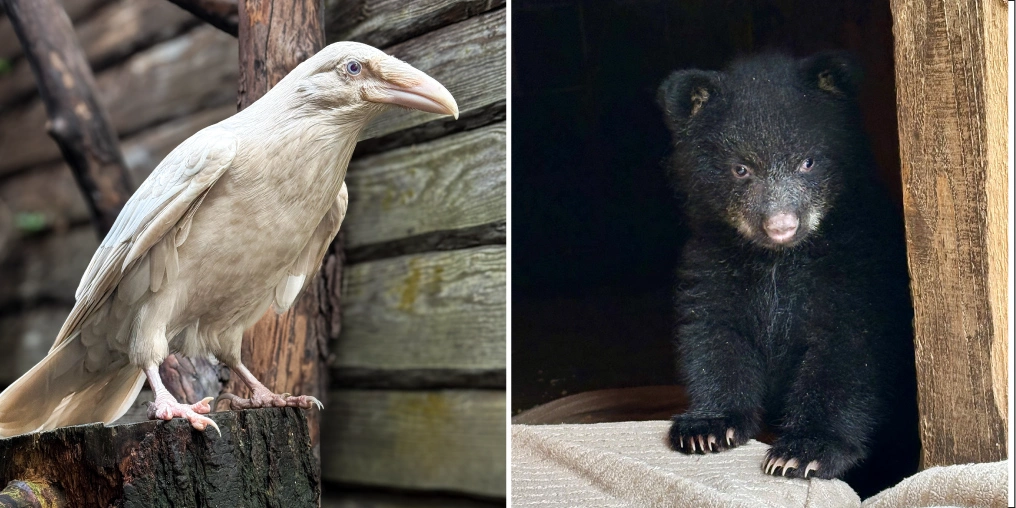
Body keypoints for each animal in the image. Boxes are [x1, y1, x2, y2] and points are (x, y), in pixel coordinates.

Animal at [656, 52, 920, 497]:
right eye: (740, 168)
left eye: (807, 161)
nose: (781, 225)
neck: (778, 261)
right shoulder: (713, 262)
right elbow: (715, 335)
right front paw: (706, 427)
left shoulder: (857, 271)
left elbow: (846, 354)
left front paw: (803, 451)